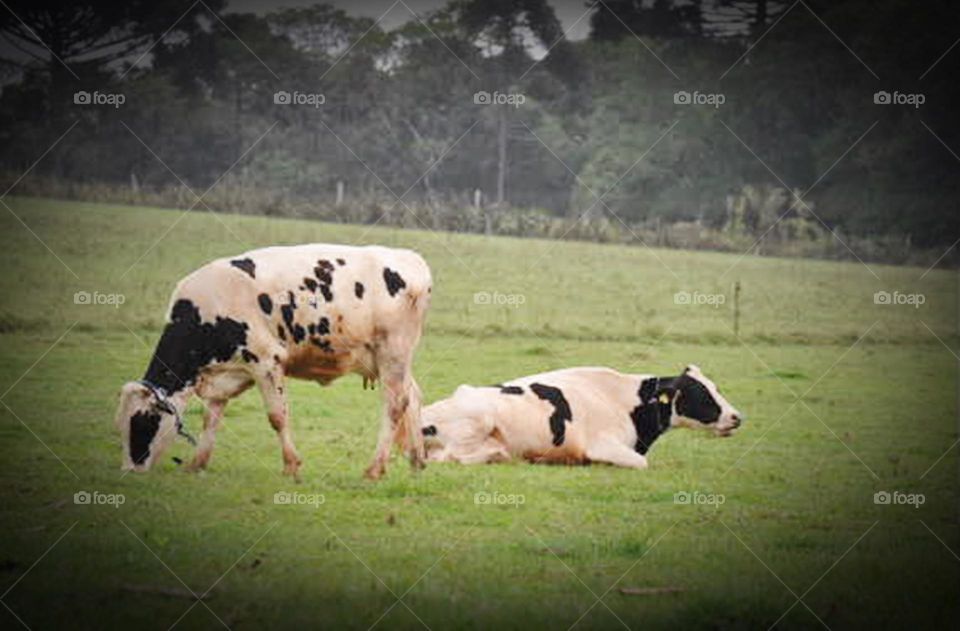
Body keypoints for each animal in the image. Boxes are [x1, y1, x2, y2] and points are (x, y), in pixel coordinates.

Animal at [115, 244, 432, 480]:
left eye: (143, 420)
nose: (130, 469)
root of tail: (410, 258)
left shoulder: (267, 360)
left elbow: (277, 417)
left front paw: (291, 465)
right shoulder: (223, 373)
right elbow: (211, 418)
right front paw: (197, 463)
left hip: (392, 354)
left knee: (395, 405)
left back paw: (375, 469)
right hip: (386, 361)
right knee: (413, 397)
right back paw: (416, 462)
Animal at [420, 365, 742, 468]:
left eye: (716, 387)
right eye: (700, 394)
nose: (736, 417)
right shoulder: (603, 445)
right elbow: (641, 463)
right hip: (479, 421)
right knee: (448, 457)